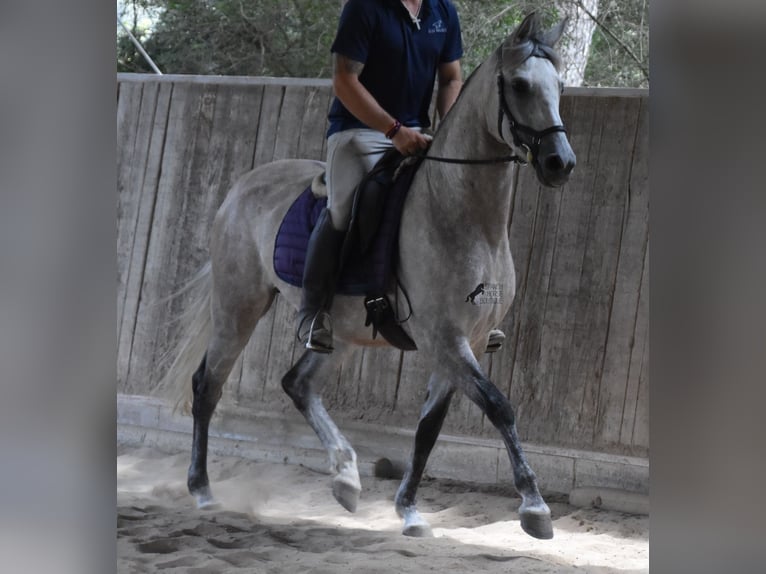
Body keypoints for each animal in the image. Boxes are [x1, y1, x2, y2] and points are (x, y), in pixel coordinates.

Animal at [165, 13, 580, 544]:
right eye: (522, 85)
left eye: (560, 86)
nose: (559, 163)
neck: (463, 216)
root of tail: (240, 189)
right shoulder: (444, 339)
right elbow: (499, 406)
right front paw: (534, 506)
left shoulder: (466, 340)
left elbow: (428, 429)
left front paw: (409, 510)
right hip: (239, 305)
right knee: (207, 385)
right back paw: (202, 490)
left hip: (338, 333)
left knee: (297, 383)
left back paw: (345, 477)